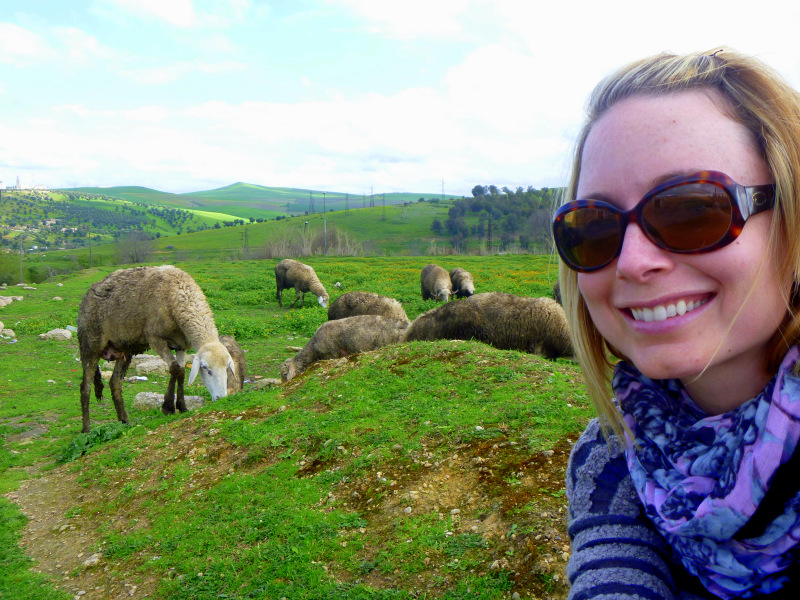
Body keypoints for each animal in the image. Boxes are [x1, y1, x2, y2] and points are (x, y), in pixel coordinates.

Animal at [77, 266, 234, 432]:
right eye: (205, 369)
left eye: (227, 368)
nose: (221, 398)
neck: (178, 292)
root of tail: (88, 293)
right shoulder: (156, 338)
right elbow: (174, 368)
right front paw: (168, 407)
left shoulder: (181, 345)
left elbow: (181, 371)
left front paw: (182, 406)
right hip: (89, 345)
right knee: (85, 387)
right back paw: (86, 429)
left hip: (124, 349)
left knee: (115, 382)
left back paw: (125, 421)